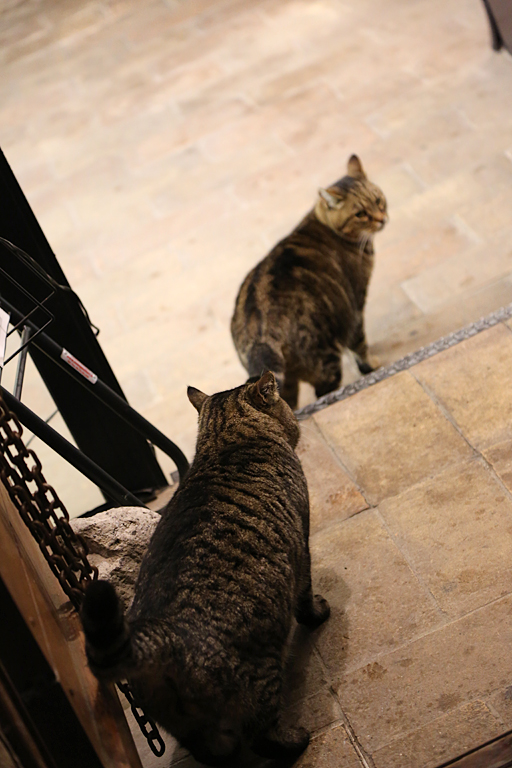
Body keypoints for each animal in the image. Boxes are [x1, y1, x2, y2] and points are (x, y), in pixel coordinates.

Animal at [81, 371, 330, 767]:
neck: (225, 442)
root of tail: (162, 631)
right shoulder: (301, 544)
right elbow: (305, 596)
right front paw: (319, 612)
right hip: (261, 676)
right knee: (262, 735)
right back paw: (296, 740)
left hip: (186, 724)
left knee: (212, 751)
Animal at [231, 154, 388, 409]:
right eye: (361, 214)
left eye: (378, 200)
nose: (382, 219)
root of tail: (260, 335)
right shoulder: (355, 306)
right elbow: (360, 345)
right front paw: (370, 366)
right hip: (326, 359)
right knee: (324, 391)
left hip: (285, 381)